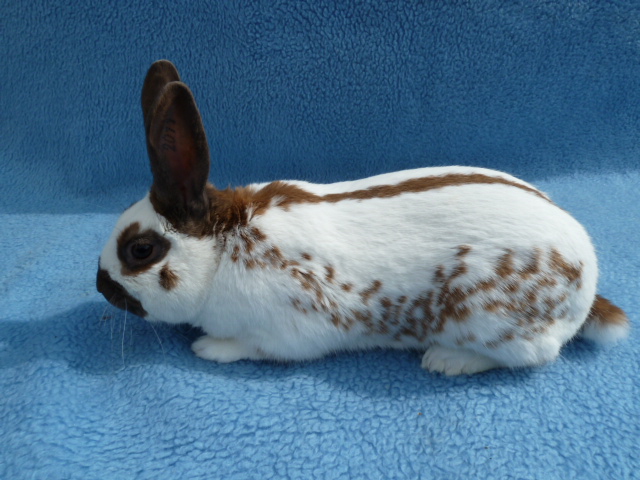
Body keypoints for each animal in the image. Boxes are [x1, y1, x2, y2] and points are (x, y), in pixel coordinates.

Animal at [97, 60, 629, 375]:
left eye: (141, 250)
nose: (101, 287)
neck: (224, 245)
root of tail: (586, 284)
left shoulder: (288, 333)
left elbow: (255, 348)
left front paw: (209, 348)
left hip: (494, 326)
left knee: (536, 356)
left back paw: (447, 360)